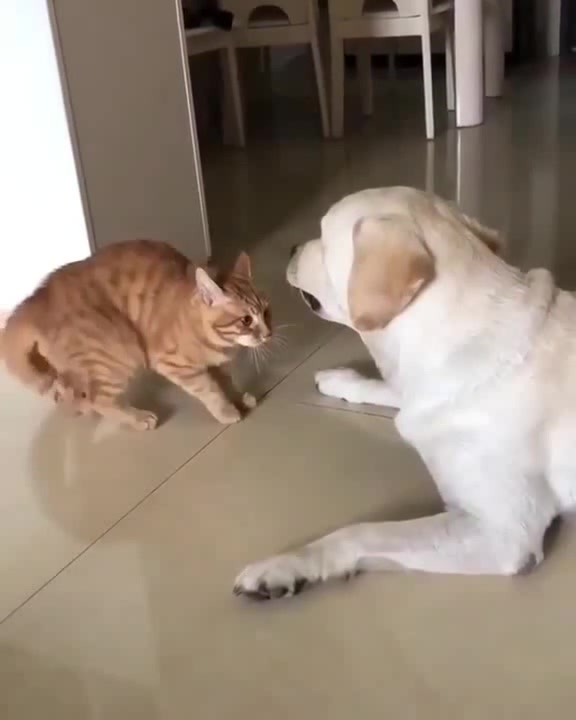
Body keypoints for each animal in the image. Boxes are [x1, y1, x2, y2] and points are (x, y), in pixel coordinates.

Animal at [0, 240, 271, 430]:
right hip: (120, 353)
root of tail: (37, 297)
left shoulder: (218, 363)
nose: (268, 334)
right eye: (246, 320)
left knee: (64, 388)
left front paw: (238, 399)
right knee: (99, 399)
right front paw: (227, 411)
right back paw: (137, 418)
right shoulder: (174, 364)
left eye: (267, 311)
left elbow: (226, 381)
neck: (221, 344)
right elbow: (210, 389)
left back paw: (74, 407)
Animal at [234, 186, 576, 600]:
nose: (292, 248)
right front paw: (342, 380)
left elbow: (362, 532)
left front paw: (288, 564)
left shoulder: (503, 533)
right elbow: (387, 389)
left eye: (323, 235)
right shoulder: (420, 392)